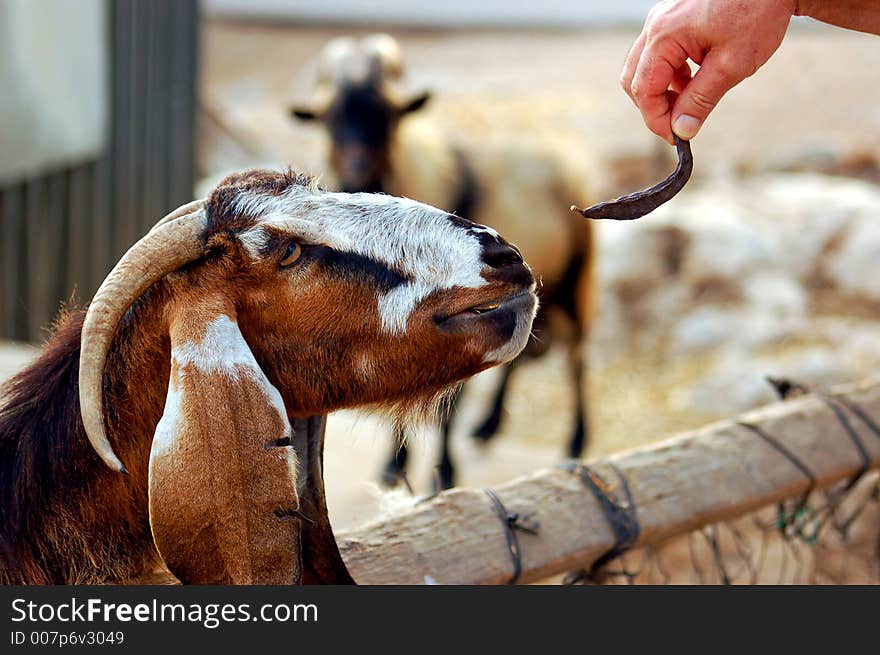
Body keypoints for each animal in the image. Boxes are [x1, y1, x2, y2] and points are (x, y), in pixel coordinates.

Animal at [292, 33, 596, 490]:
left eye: (388, 116)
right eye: (328, 119)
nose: (356, 171)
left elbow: (449, 403)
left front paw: (445, 473)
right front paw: (395, 466)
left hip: (577, 275)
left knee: (576, 355)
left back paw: (575, 441)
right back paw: (488, 426)